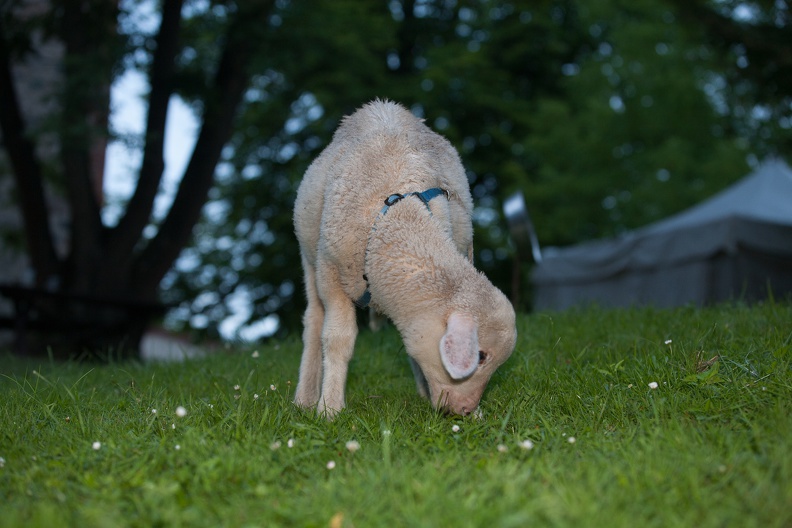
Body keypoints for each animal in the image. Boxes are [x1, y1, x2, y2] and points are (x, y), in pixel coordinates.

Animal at [294, 101, 516, 418]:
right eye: (481, 355)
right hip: (309, 257)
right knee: (313, 321)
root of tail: (379, 104)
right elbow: (337, 339)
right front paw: (330, 408)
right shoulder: (331, 273)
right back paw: (305, 398)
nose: (464, 410)